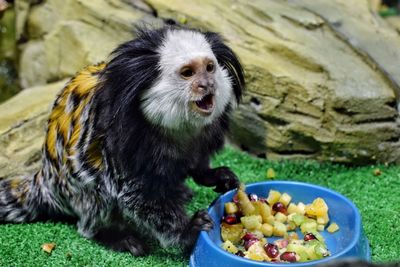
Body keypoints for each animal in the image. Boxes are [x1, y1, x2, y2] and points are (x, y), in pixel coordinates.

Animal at [0, 26, 245, 256]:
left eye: (210, 68)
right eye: (188, 73)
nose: (207, 84)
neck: (177, 129)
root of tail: (45, 180)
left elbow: (197, 164)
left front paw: (215, 175)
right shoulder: (122, 148)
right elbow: (136, 195)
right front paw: (188, 231)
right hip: (77, 190)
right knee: (97, 197)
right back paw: (113, 236)